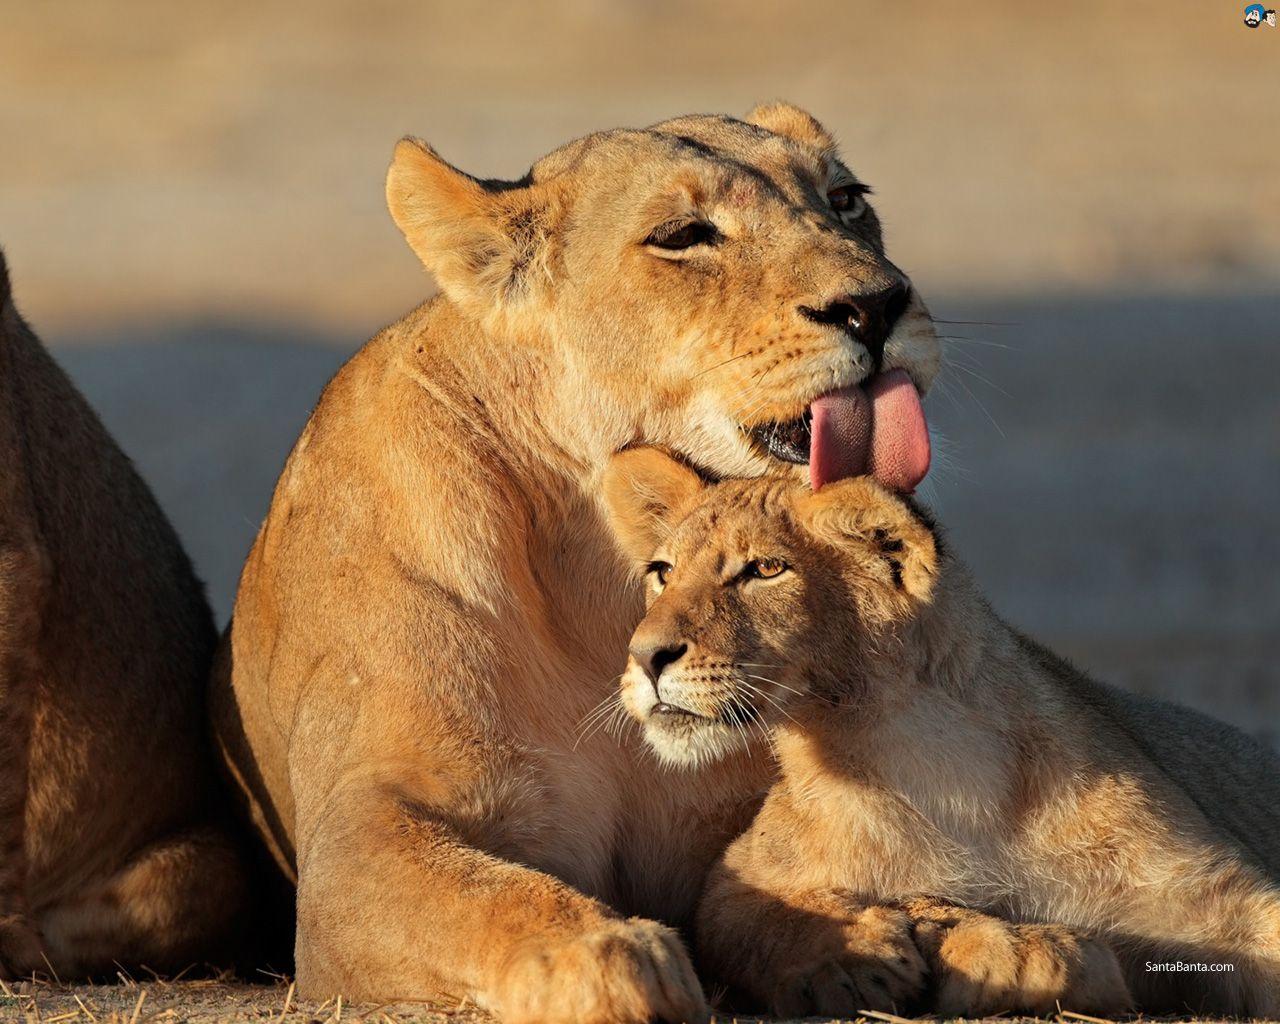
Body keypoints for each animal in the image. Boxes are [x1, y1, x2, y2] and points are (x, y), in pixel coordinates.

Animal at [209, 104, 944, 1019]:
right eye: (683, 236)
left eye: (846, 199)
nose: (878, 307)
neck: (602, 572)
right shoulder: (359, 836)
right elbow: (488, 896)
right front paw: (616, 959)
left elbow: (761, 879)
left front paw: (856, 943)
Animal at [603, 445, 1280, 1019]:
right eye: (663, 571)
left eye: (766, 569)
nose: (645, 655)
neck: (935, 765)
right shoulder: (741, 872)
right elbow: (760, 917)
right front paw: (852, 959)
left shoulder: (1215, 899)